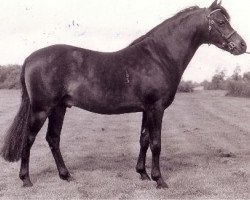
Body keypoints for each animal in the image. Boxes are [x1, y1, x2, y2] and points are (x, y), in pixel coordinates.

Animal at [0, 0, 246, 188]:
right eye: (221, 22)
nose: (242, 45)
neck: (158, 56)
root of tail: (30, 58)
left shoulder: (147, 109)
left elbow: (144, 139)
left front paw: (143, 174)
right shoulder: (156, 108)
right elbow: (156, 143)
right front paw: (159, 180)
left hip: (59, 108)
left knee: (53, 138)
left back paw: (66, 175)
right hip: (41, 109)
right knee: (29, 139)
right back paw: (26, 180)